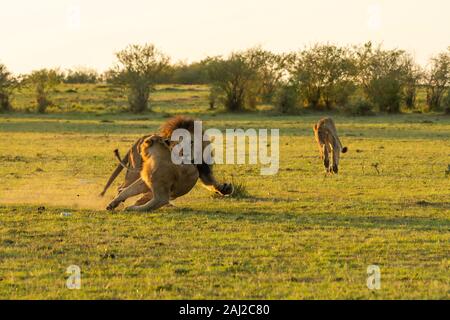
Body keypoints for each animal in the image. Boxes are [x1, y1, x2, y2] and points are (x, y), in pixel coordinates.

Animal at [100, 115, 234, 205]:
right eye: (175, 141)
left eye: (190, 142)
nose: (181, 152)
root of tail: (135, 142)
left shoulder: (204, 169)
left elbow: (211, 182)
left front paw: (225, 188)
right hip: (134, 171)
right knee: (122, 187)